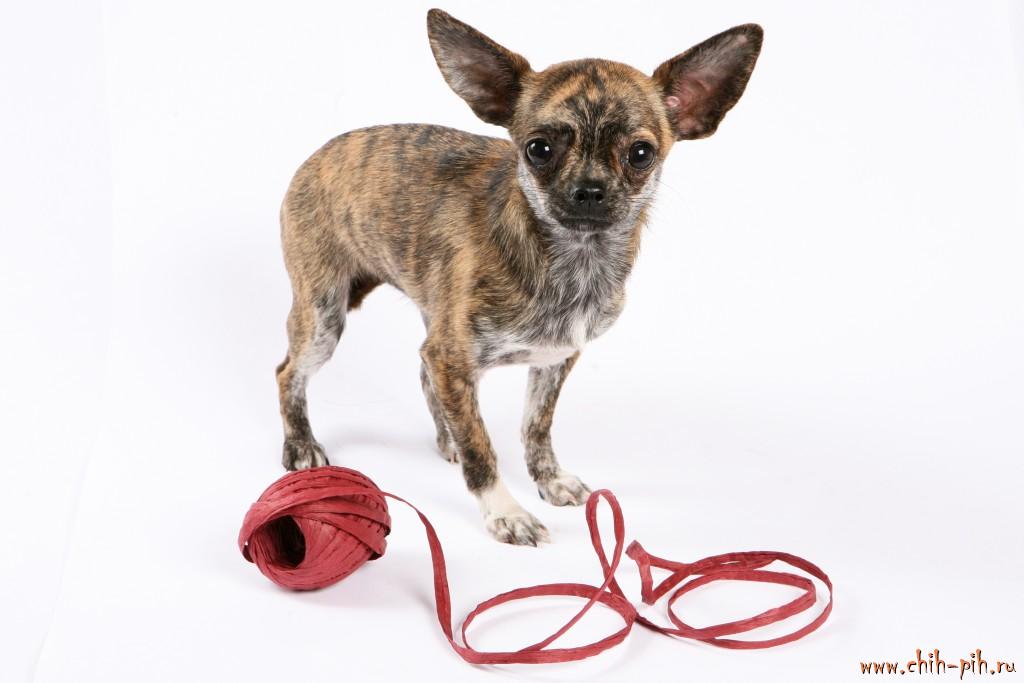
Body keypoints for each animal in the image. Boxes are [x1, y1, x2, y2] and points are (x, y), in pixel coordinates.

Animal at [275, 9, 763, 545]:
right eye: (539, 149)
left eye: (640, 154)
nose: (589, 190)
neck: (573, 261)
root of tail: (317, 155)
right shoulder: (454, 359)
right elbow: (482, 448)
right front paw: (504, 511)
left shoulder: (552, 361)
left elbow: (535, 427)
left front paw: (548, 480)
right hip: (324, 317)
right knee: (288, 373)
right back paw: (302, 445)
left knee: (422, 370)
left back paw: (445, 437)